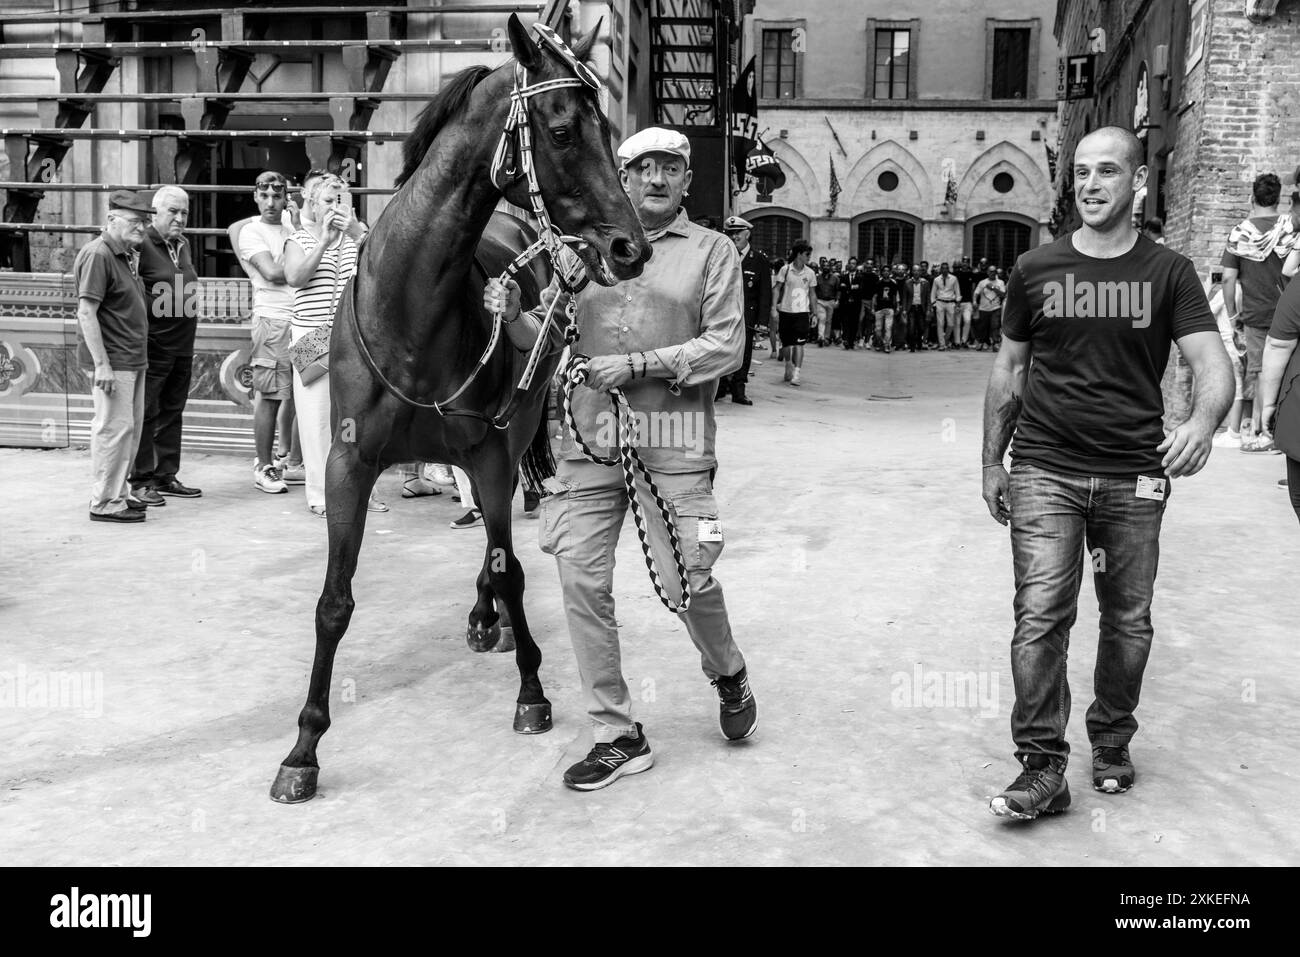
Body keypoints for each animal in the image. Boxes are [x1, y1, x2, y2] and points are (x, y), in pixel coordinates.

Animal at [267, 18, 644, 806]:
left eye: (609, 128)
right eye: (563, 130)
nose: (632, 246)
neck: (411, 314)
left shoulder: (490, 454)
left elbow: (510, 568)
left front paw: (531, 690)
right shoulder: (348, 462)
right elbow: (334, 601)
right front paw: (304, 747)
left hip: (516, 434)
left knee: (500, 551)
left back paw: (487, 616)